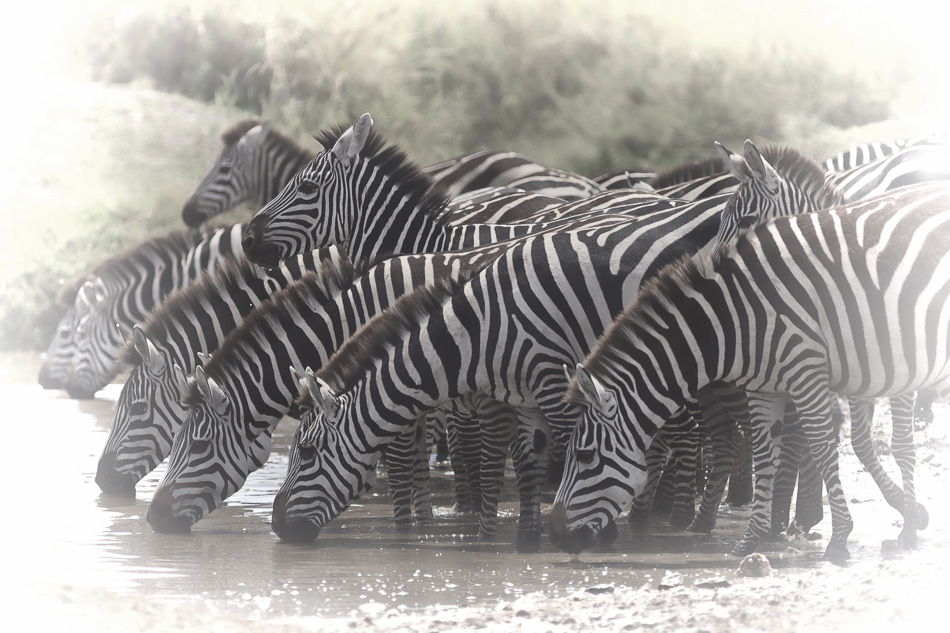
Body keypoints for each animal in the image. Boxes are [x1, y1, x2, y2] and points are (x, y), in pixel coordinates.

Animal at [550, 181, 950, 561]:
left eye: (585, 456)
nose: (560, 538)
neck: (735, 321)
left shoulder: (805, 372)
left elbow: (822, 448)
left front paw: (839, 539)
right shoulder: (765, 386)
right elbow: (764, 452)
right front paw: (752, 539)